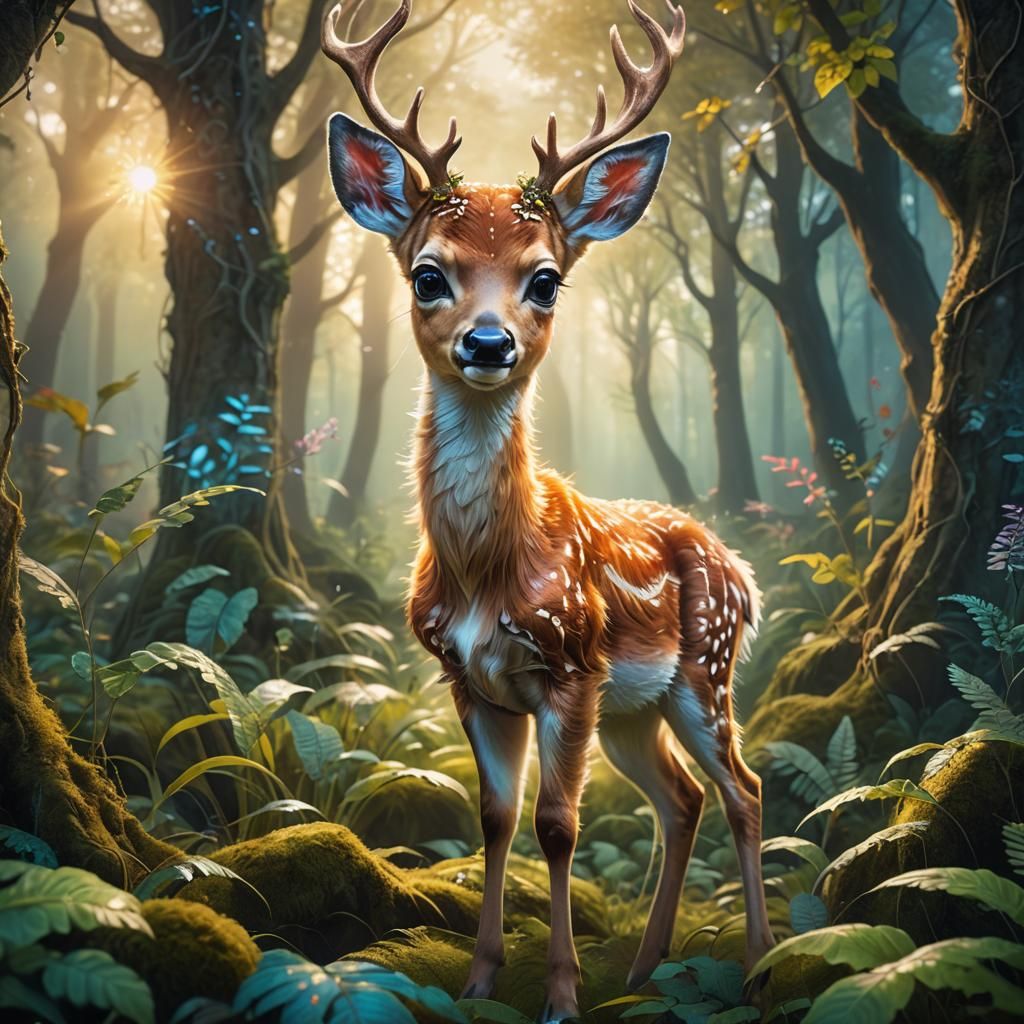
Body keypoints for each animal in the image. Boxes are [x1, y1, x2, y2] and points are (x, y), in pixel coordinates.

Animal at [320, 1, 774, 1019]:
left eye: (545, 278)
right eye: (428, 274)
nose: (488, 343)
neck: (487, 572)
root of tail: (741, 570)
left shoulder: (572, 667)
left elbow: (558, 824)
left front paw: (561, 991)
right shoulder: (469, 680)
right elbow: (494, 817)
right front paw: (483, 976)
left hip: (704, 670)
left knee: (745, 787)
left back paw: (763, 962)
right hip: (638, 708)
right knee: (681, 797)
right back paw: (644, 970)